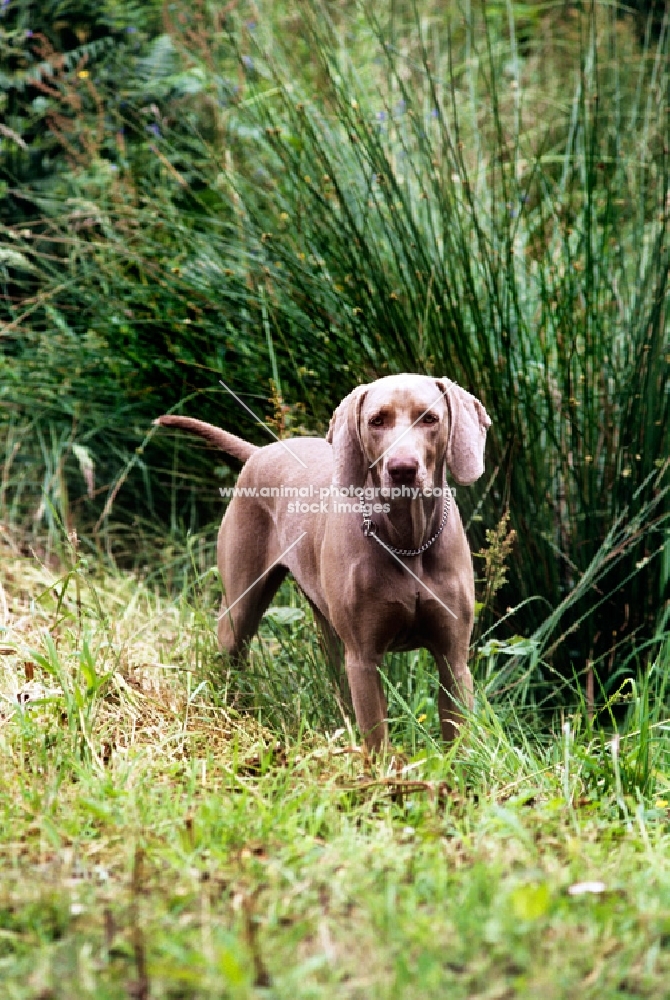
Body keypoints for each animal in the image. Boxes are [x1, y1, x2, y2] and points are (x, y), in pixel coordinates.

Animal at [158, 376, 494, 752]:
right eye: (377, 420)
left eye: (430, 418)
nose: (402, 469)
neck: (409, 543)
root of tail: (260, 451)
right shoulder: (363, 660)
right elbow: (378, 743)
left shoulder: (453, 660)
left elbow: (458, 740)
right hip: (239, 609)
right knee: (232, 656)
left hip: (328, 630)